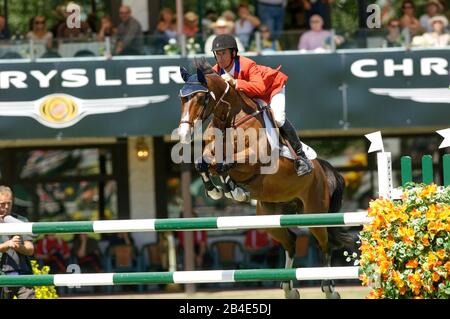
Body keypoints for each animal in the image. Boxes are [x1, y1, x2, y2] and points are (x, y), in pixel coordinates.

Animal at [178, 59, 354, 300]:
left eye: (200, 98)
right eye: (182, 98)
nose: (183, 135)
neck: (230, 119)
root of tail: (325, 171)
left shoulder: (254, 158)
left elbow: (225, 164)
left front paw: (232, 189)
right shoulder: (211, 154)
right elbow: (203, 164)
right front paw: (219, 190)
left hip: (314, 212)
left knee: (325, 245)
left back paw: (329, 288)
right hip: (270, 216)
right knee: (291, 242)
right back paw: (289, 287)